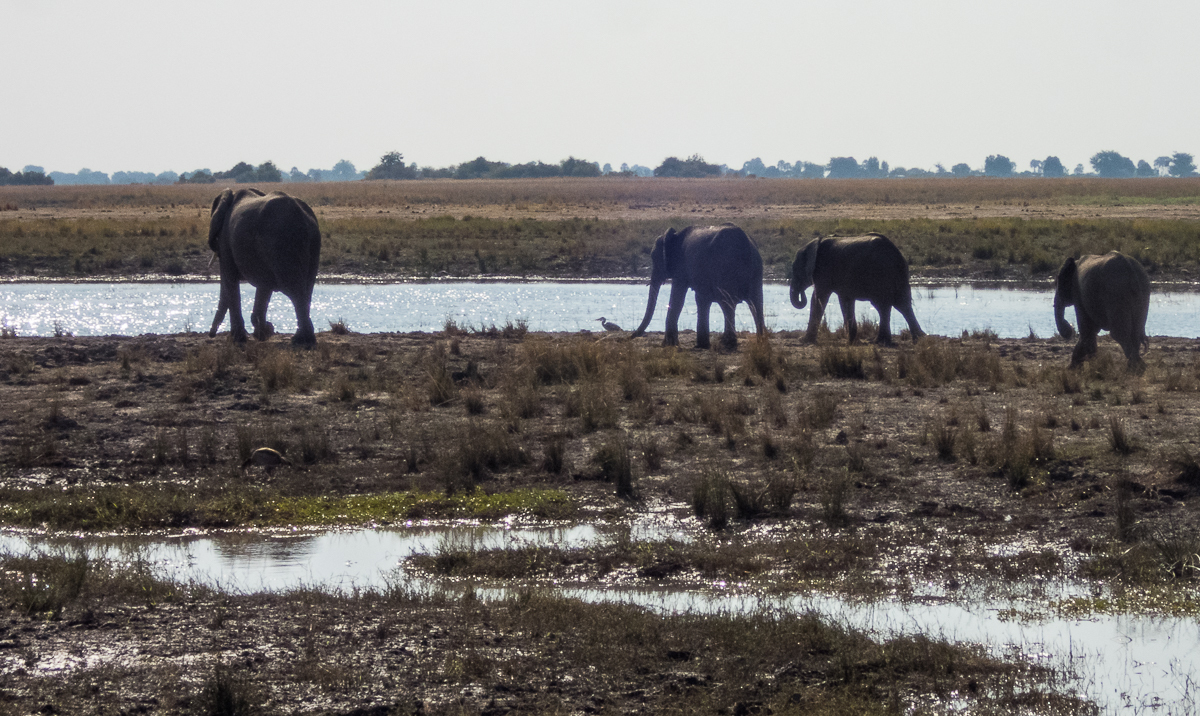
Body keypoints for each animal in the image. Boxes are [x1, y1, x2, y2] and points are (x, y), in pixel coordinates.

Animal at [207, 187, 321, 345]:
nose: (211, 334)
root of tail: (302, 217)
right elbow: (264, 285)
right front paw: (263, 333)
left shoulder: (225, 241)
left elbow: (230, 279)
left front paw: (239, 339)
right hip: (311, 244)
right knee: (307, 288)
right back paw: (302, 338)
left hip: (281, 243)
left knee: (293, 289)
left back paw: (302, 340)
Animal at [633, 221, 763, 347]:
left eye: (654, 258)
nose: (631, 337)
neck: (674, 235)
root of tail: (745, 243)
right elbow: (701, 299)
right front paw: (701, 344)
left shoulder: (681, 267)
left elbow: (678, 299)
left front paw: (669, 345)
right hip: (755, 270)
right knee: (756, 302)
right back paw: (760, 341)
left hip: (726, 268)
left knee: (727, 302)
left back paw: (728, 343)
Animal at [792, 232, 921, 345]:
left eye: (795, 270)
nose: (801, 293)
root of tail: (895, 253)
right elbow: (845, 301)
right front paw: (852, 341)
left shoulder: (823, 270)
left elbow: (818, 298)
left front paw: (805, 340)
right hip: (899, 273)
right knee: (902, 304)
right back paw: (918, 339)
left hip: (880, 274)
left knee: (883, 306)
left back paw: (881, 341)